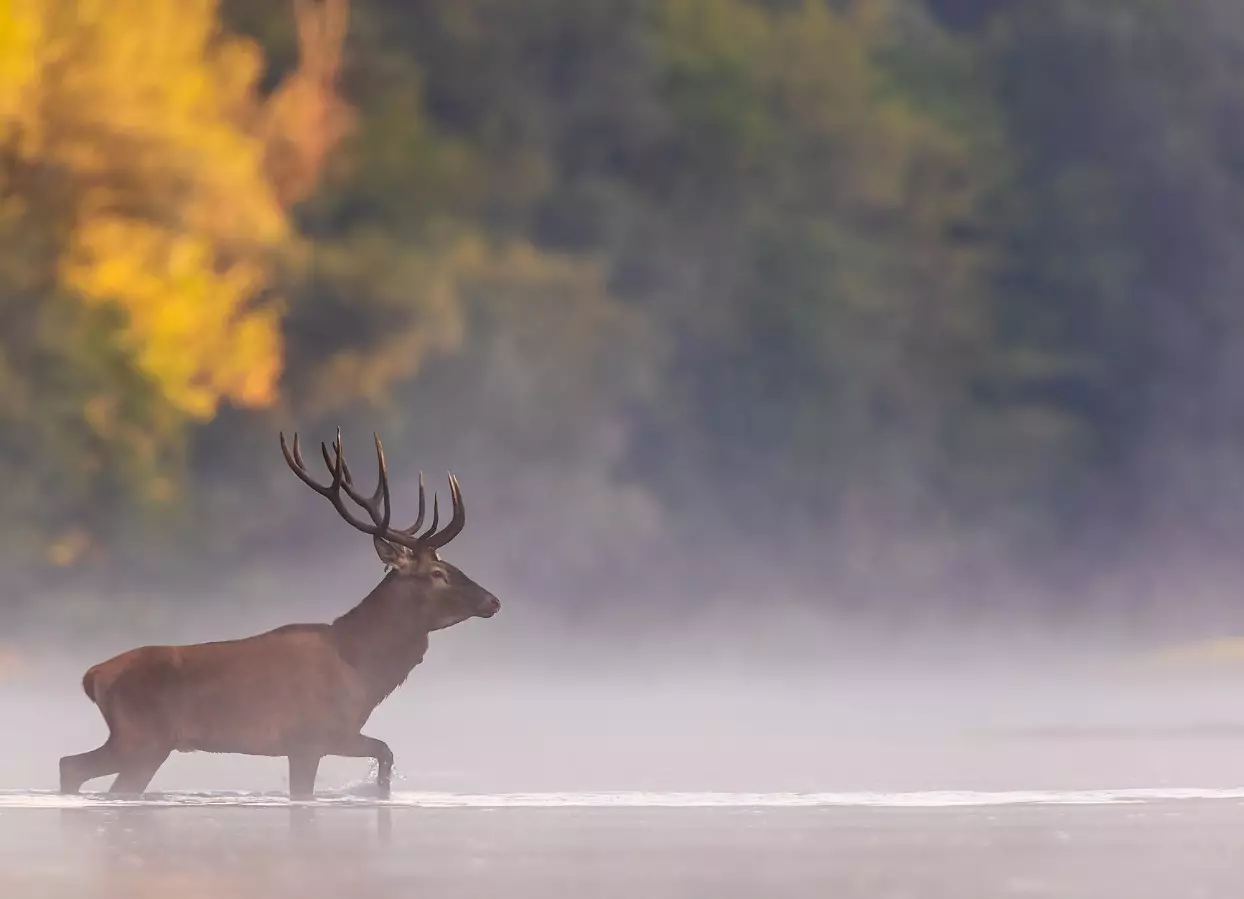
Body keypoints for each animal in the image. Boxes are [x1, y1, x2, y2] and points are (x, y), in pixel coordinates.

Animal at [58, 429, 501, 800]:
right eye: (438, 573)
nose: (492, 600)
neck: (361, 669)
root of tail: (92, 677)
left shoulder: (331, 736)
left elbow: (386, 754)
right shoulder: (310, 737)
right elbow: (365, 763)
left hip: (142, 743)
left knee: (75, 768)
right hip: (141, 739)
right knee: (73, 766)